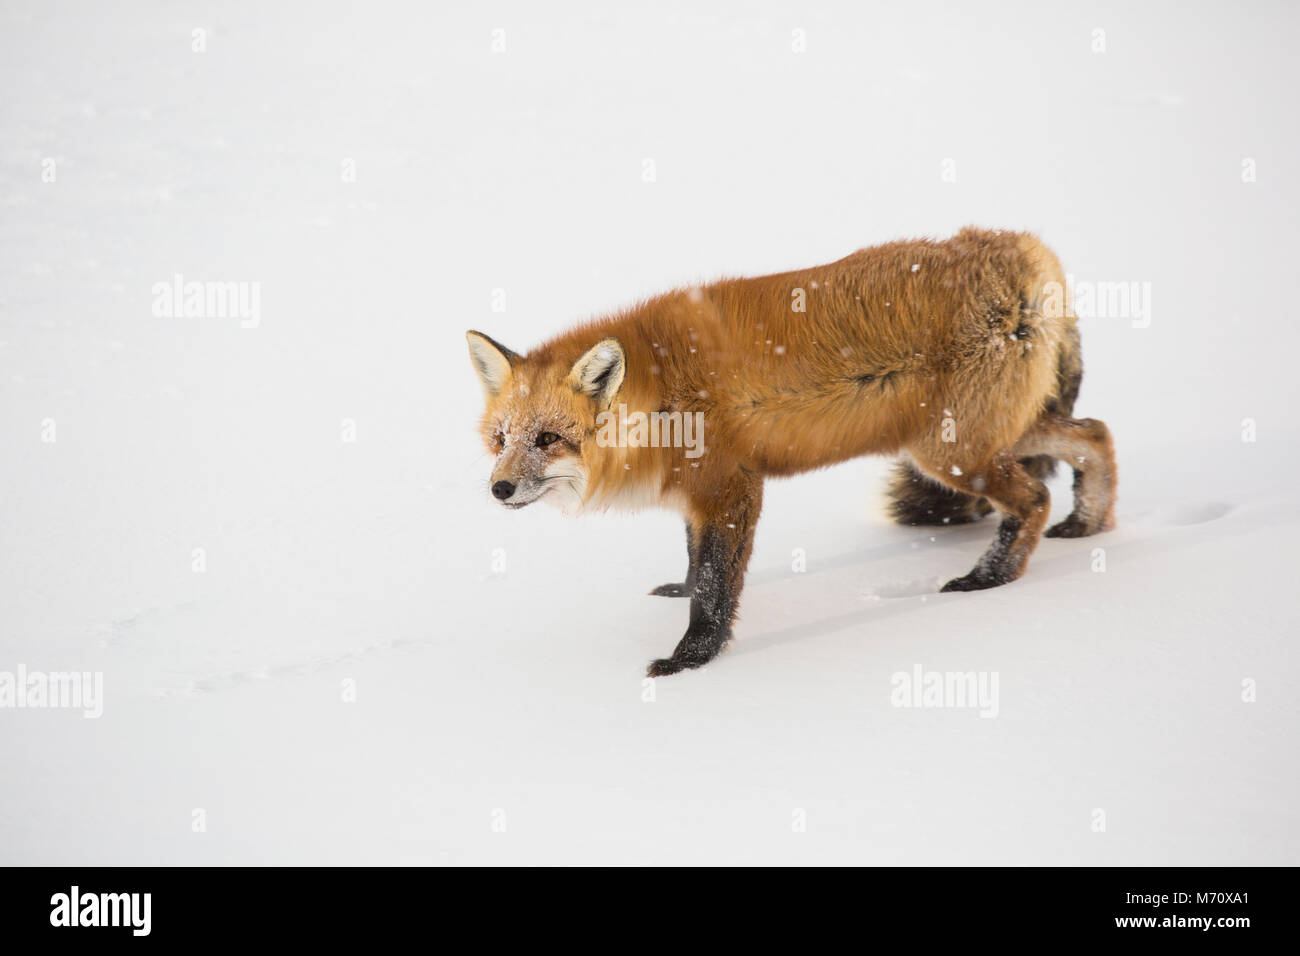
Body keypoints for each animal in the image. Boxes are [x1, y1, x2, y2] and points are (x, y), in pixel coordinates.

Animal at [467, 227, 1118, 676]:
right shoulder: (698, 495)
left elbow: (714, 587)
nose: (498, 489)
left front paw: (689, 662)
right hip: (992, 435)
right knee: (1096, 434)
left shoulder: (731, 487)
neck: (662, 399)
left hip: (954, 454)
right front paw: (679, 594)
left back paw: (990, 578)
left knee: (1034, 498)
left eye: (548, 439)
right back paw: (1089, 523)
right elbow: (694, 562)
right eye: (501, 440)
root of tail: (1018, 246)